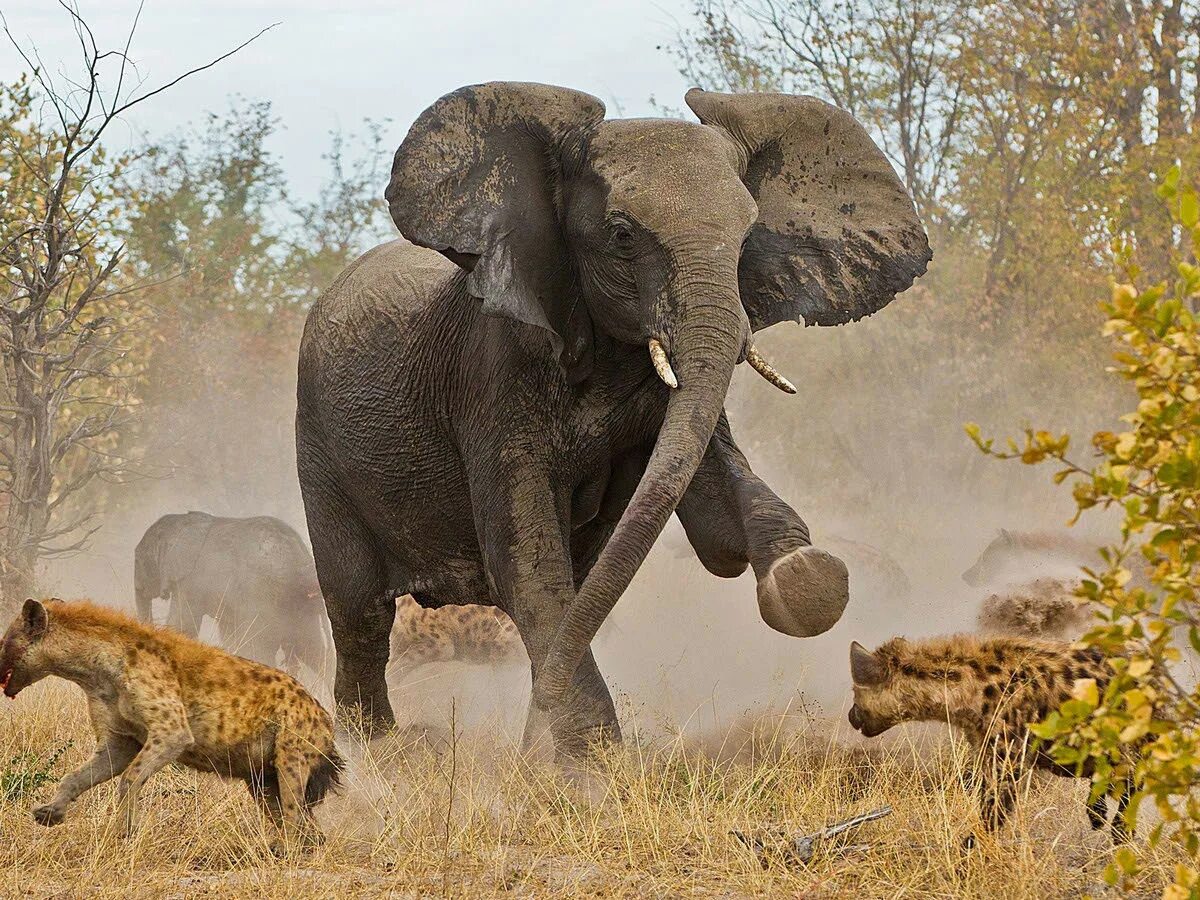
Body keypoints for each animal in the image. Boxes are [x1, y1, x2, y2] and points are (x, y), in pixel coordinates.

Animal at [133, 513, 331, 676]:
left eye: (140, 560)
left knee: (261, 650)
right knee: (316, 654)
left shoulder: (190, 582)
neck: (180, 521)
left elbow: (182, 625)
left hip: (263, 599)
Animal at [295, 82, 931, 763]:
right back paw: (376, 749)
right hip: (318, 445)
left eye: (745, 241)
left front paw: (805, 577)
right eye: (623, 236)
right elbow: (525, 561)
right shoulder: (493, 373)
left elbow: (713, 515)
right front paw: (589, 767)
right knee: (360, 609)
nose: (526, 748)